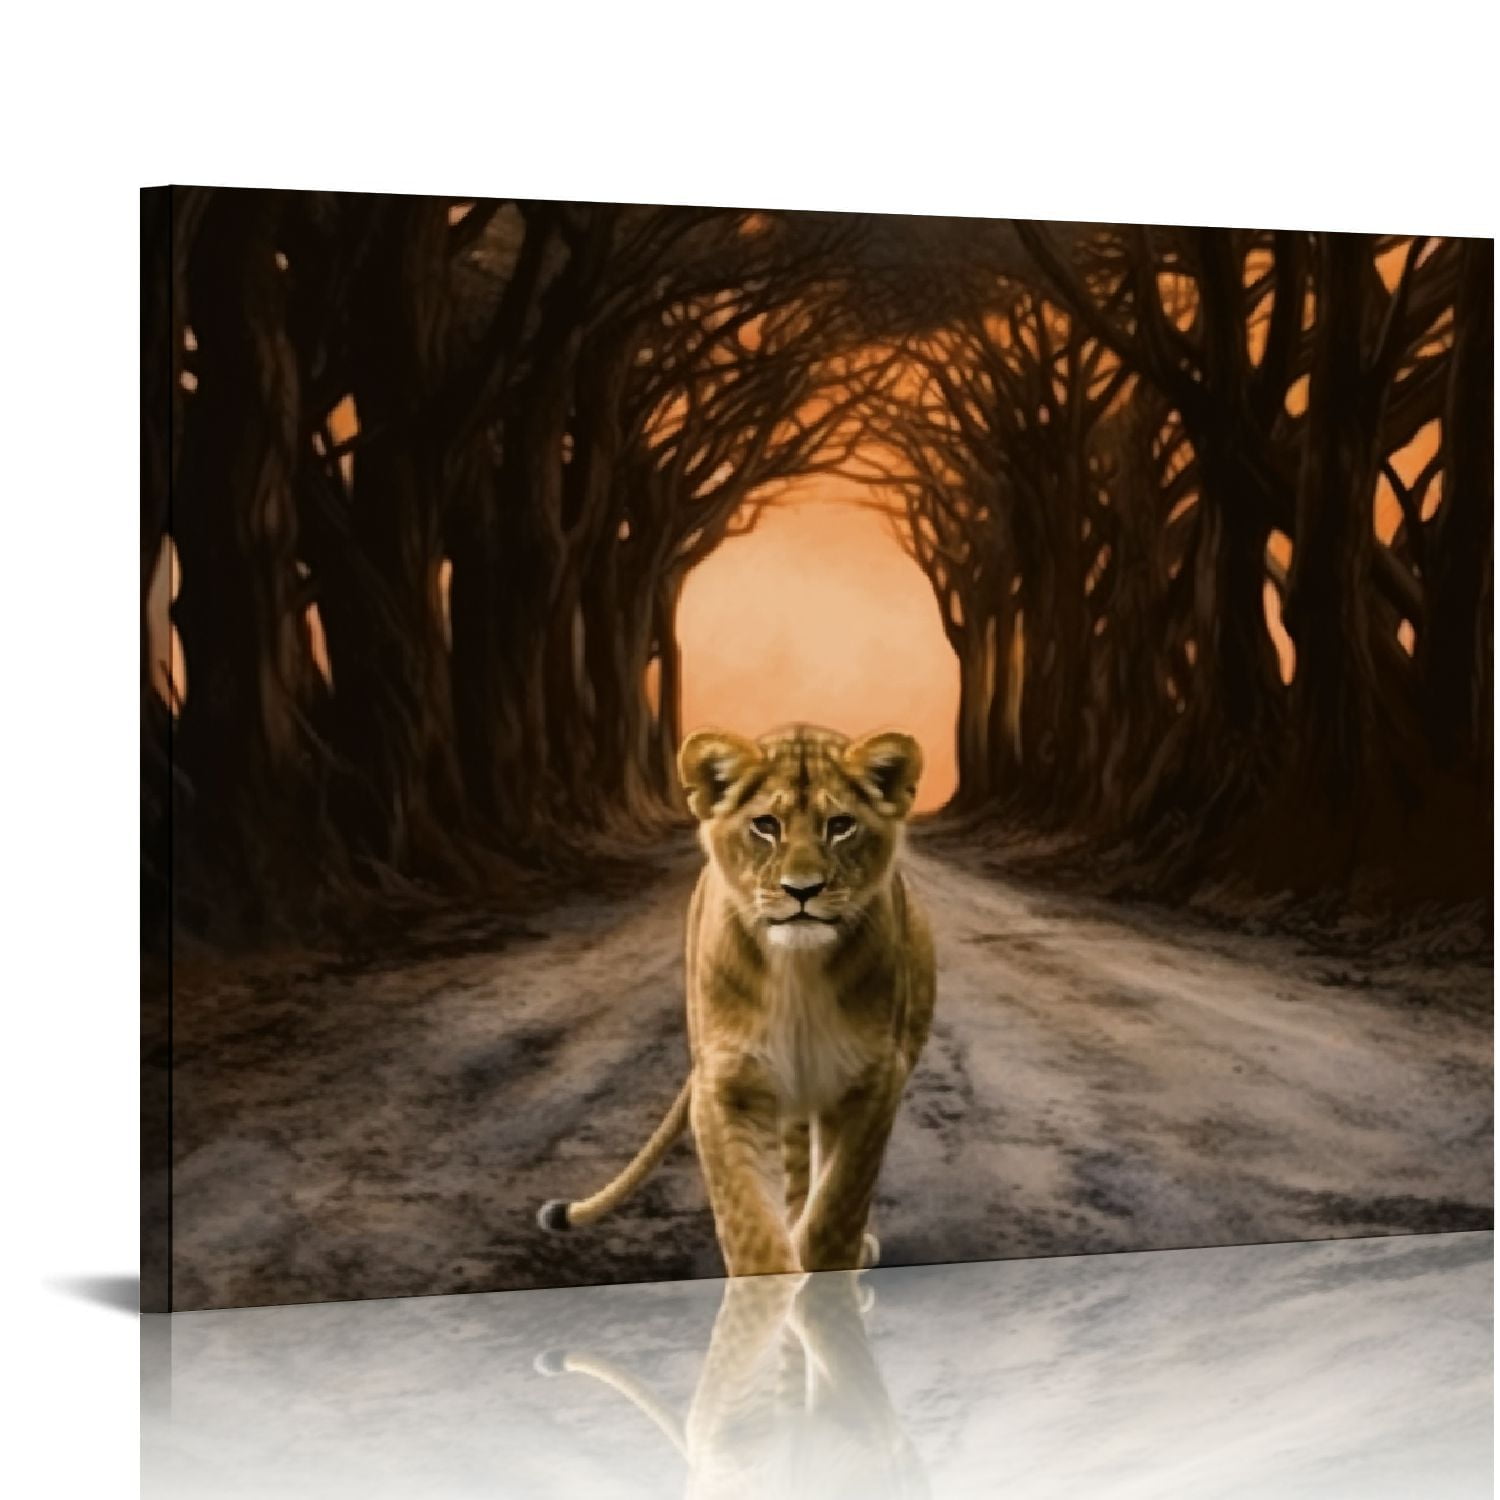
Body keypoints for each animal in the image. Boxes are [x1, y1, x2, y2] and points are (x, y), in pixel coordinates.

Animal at [539, 723, 936, 1276]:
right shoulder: (727, 1084)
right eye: (765, 825)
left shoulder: (875, 1078)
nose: (803, 891)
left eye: (841, 826)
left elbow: (837, 1208)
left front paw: (830, 1273)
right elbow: (750, 1224)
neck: (797, 969)